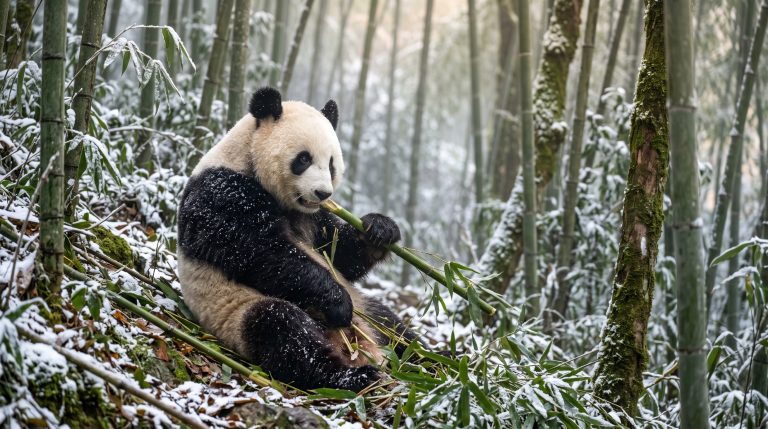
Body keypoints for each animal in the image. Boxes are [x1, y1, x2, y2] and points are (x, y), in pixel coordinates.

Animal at [177, 87, 417, 392]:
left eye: (331, 164)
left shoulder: (314, 217)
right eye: (303, 159)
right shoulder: (223, 192)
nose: (323, 193)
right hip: (236, 310)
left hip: (370, 313)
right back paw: (352, 376)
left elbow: (340, 254)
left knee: (396, 329)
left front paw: (380, 229)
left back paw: (434, 362)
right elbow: (261, 252)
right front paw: (337, 303)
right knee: (283, 330)